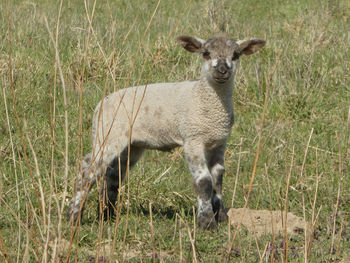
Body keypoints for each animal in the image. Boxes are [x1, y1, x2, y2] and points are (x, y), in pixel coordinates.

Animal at [67, 34, 266, 230]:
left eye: (236, 55)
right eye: (206, 53)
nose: (222, 70)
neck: (206, 100)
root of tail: (100, 105)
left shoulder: (219, 141)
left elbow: (217, 178)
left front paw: (222, 217)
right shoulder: (192, 138)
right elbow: (204, 182)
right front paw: (207, 223)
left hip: (130, 145)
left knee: (113, 175)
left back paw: (107, 215)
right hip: (107, 135)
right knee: (87, 170)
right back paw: (74, 216)